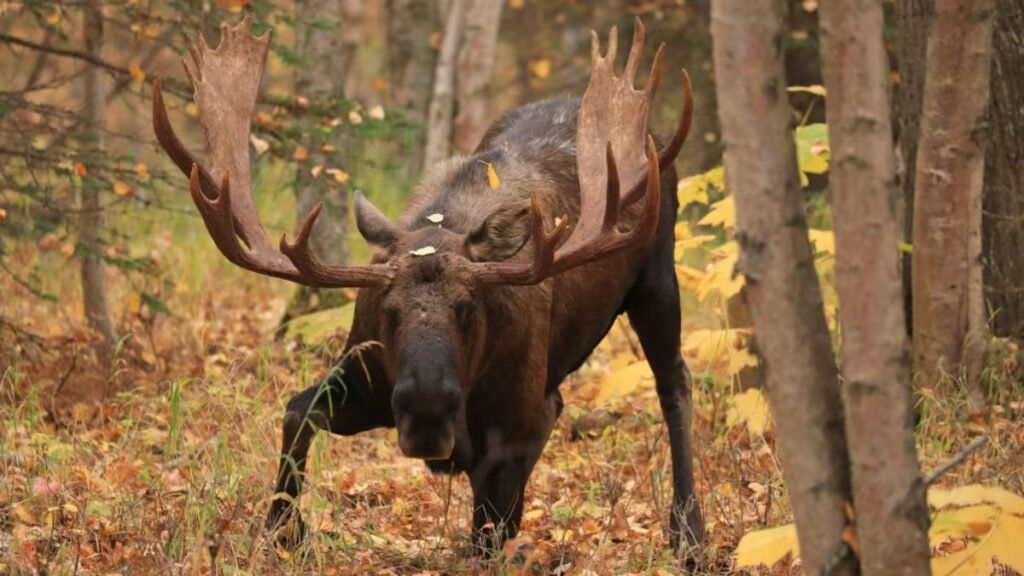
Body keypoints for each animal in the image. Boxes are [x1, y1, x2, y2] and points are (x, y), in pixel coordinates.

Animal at [152, 16, 702, 554]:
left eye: (467, 308)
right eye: (388, 311)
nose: (427, 411)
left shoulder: (526, 420)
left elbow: (488, 534)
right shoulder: (365, 380)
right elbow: (296, 413)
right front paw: (286, 531)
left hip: (658, 279)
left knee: (674, 385)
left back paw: (689, 532)